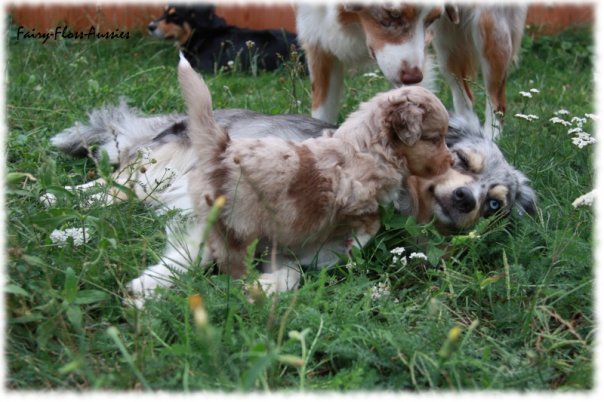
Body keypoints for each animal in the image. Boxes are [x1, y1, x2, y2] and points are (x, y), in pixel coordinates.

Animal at [48, 59, 536, 306]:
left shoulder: (309, 255)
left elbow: (292, 276)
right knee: (113, 188)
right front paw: (151, 286)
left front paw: (260, 288)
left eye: (494, 204)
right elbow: (188, 252)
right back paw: (62, 207)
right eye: (460, 160)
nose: (466, 199)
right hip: (162, 169)